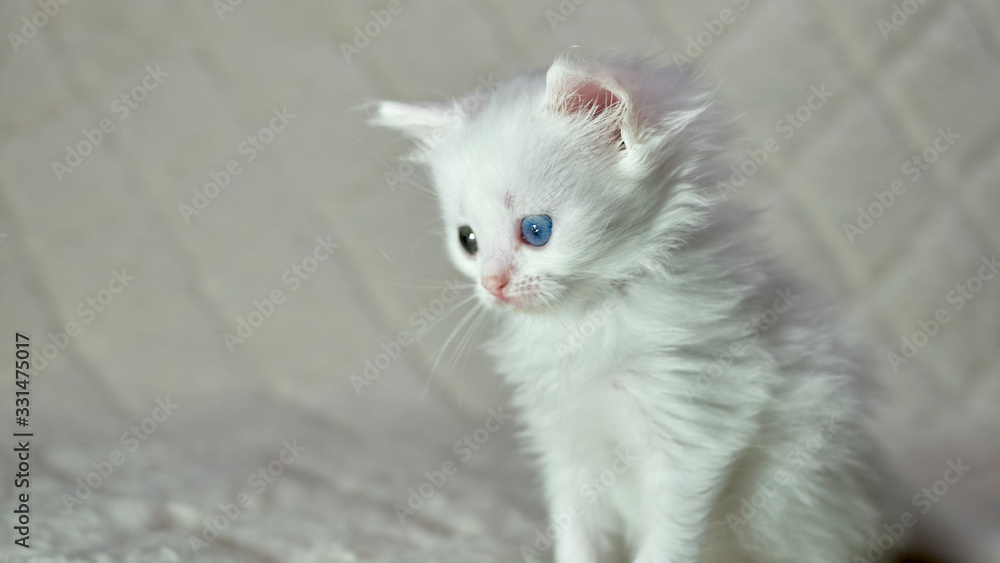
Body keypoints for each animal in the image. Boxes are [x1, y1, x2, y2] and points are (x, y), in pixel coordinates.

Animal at [374, 55, 884, 560]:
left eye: (537, 230)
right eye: (468, 241)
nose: (492, 284)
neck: (586, 320)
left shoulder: (694, 433)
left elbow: (666, 544)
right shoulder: (566, 447)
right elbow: (577, 537)